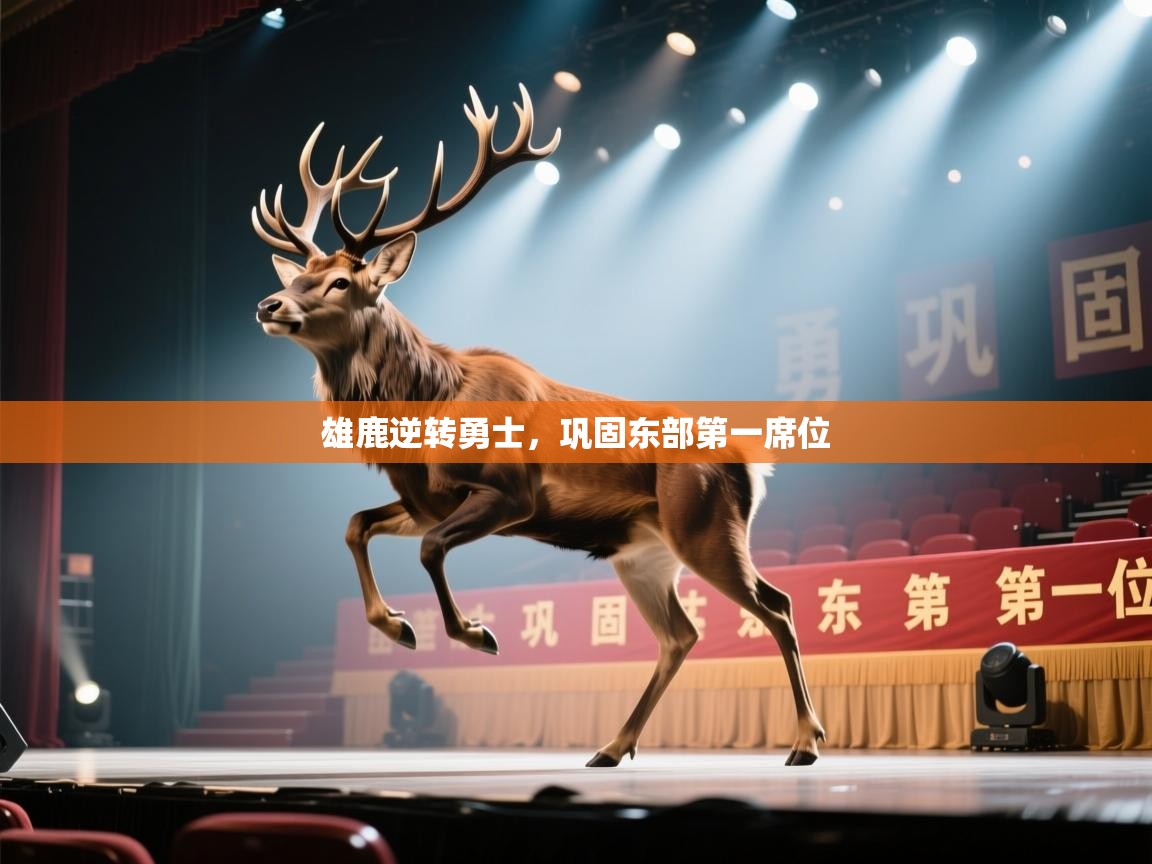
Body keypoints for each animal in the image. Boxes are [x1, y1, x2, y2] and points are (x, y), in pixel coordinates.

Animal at [252, 84, 825, 767]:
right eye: (300, 275)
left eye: (341, 281)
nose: (269, 303)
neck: (429, 407)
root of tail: (753, 466)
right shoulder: (422, 499)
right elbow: (356, 525)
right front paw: (399, 625)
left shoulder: (512, 493)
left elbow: (430, 547)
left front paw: (474, 633)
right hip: (644, 552)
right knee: (680, 634)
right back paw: (612, 746)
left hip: (706, 527)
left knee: (777, 606)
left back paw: (806, 742)